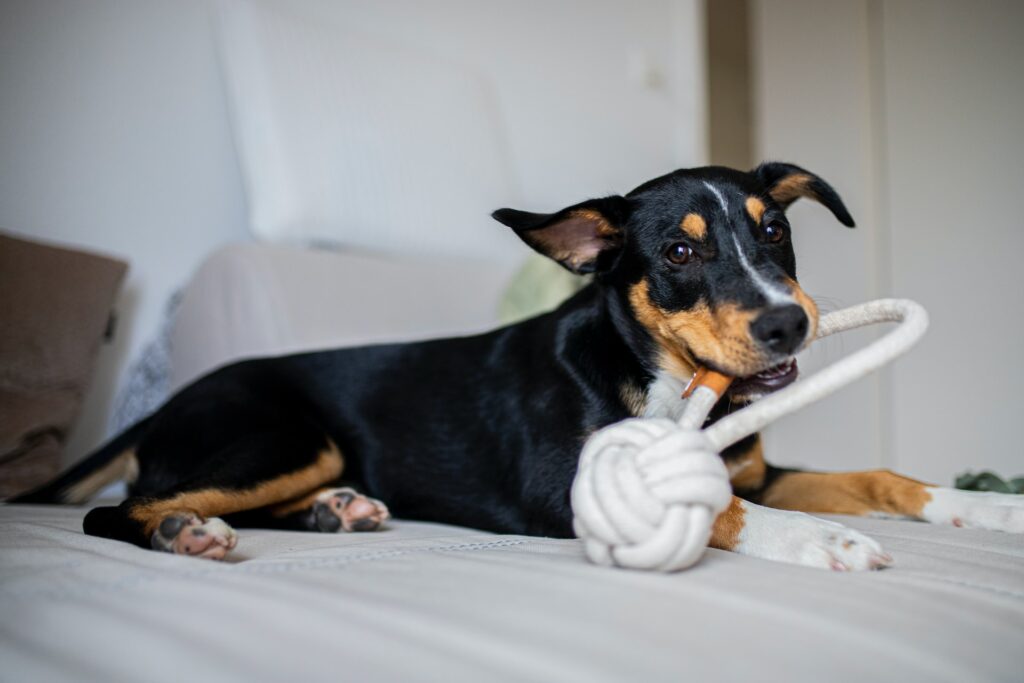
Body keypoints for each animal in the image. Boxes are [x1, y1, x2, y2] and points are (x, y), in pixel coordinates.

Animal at [9, 163, 1024, 565]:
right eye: (680, 253)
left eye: (774, 231)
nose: (788, 324)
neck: (656, 374)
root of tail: (169, 400)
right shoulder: (565, 488)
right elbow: (720, 509)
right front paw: (824, 542)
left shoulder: (760, 468)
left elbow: (880, 476)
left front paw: (986, 507)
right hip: (283, 435)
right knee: (120, 509)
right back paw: (187, 532)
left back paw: (338, 513)